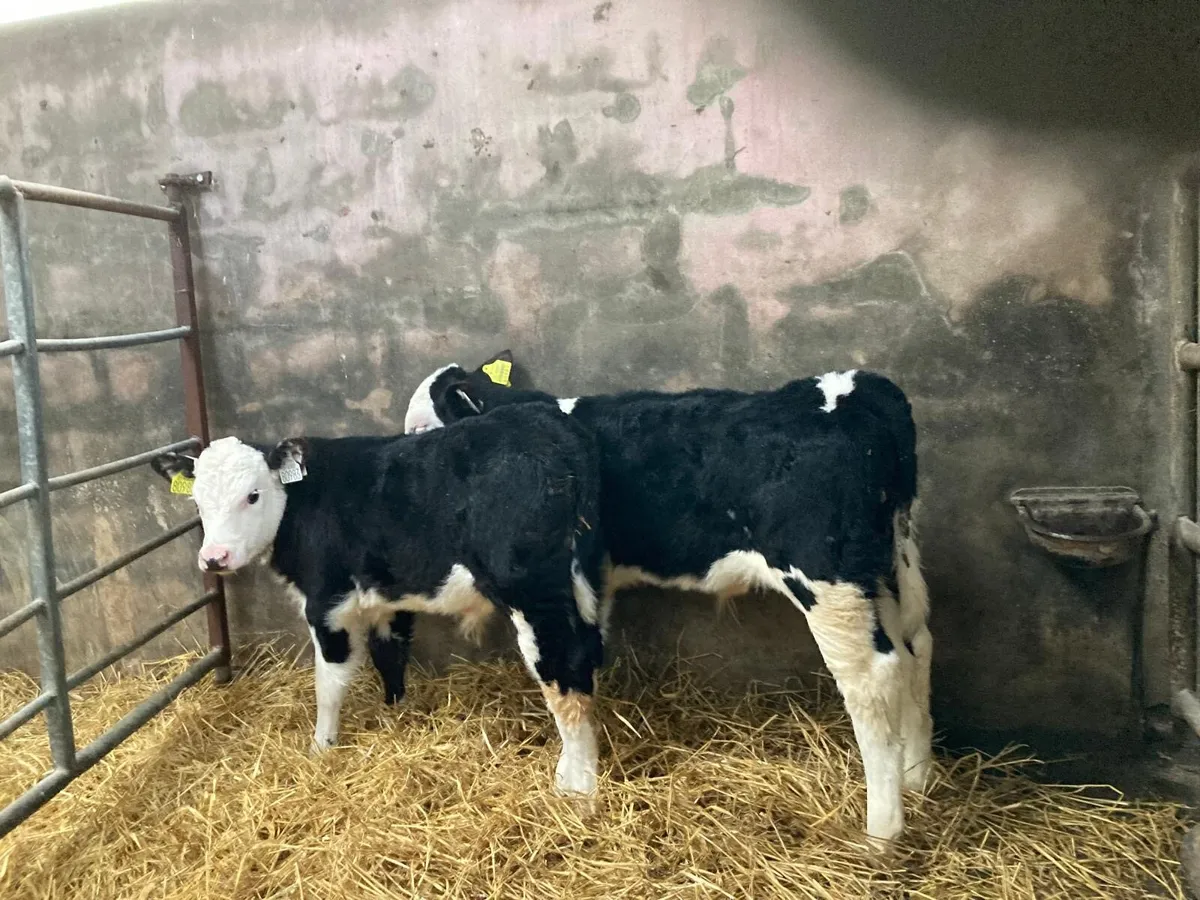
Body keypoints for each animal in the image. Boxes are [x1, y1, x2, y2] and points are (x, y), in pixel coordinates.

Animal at [150, 403, 606, 806]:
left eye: (253, 495)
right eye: (197, 502)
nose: (215, 558)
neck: (303, 503)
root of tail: (547, 425)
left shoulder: (327, 602)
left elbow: (329, 684)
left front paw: (321, 746)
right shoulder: (389, 596)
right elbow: (390, 653)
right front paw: (395, 714)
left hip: (533, 593)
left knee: (564, 672)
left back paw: (576, 788)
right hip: (583, 584)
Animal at [404, 352, 932, 844]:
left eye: (421, 431)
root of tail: (860, 391)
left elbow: (562, 674)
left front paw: (573, 792)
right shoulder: (593, 581)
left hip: (827, 578)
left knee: (873, 677)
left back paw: (881, 833)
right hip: (890, 566)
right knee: (915, 649)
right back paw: (917, 779)